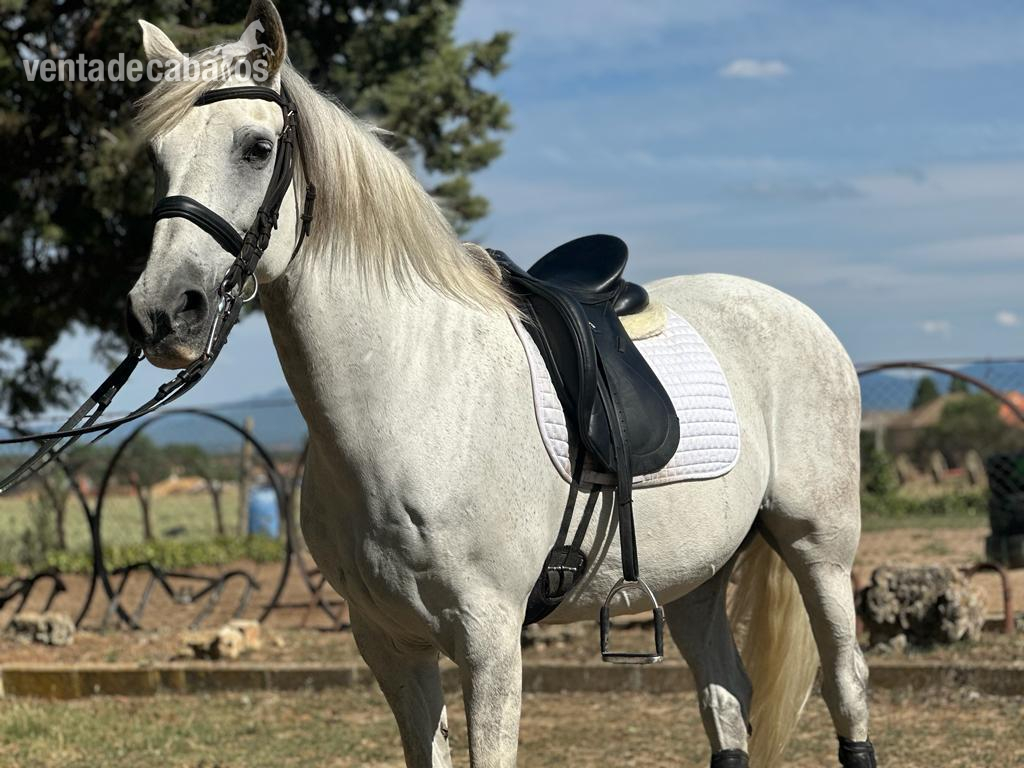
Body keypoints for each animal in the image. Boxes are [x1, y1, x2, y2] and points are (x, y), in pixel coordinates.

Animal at [127, 3, 875, 766]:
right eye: (156, 157)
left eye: (256, 147)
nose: (164, 311)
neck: (411, 392)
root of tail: (798, 315)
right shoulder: (389, 643)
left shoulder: (488, 639)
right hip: (698, 573)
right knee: (726, 697)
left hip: (819, 547)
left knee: (846, 680)